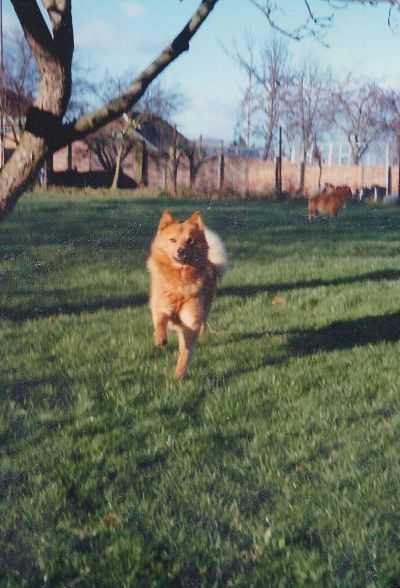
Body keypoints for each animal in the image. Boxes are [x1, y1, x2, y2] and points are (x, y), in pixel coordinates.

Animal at [148, 209, 228, 378]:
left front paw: (179, 375)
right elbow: (161, 320)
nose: (181, 251)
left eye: (190, 241)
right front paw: (160, 338)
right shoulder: (161, 307)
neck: (180, 282)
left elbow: (186, 352)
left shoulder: (191, 323)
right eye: (172, 240)